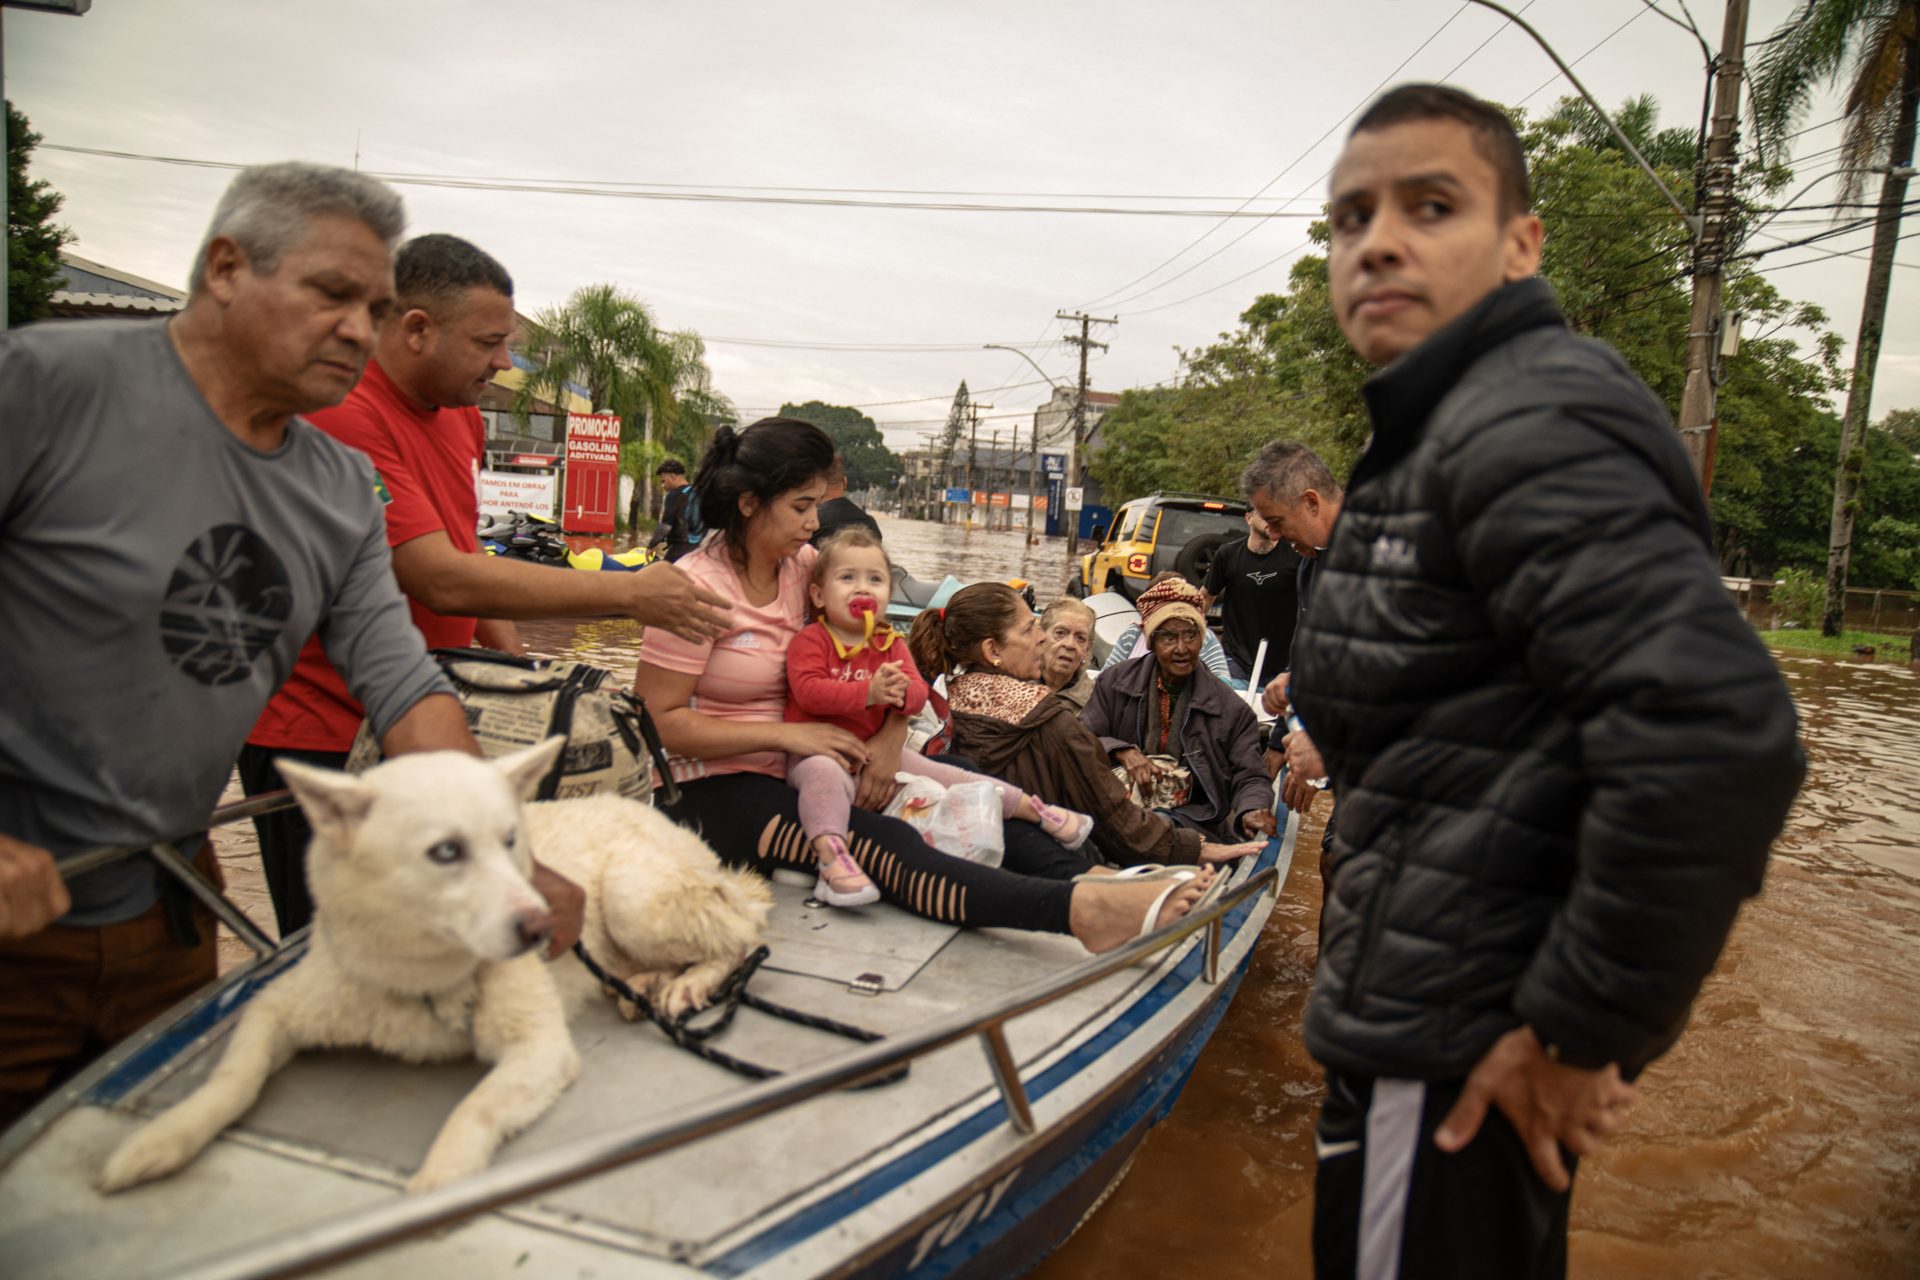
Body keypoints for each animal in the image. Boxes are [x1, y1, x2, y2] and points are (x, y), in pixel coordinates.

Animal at [97, 736, 771, 1197]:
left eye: (511, 839)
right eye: (446, 851)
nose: (542, 925)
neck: (420, 980)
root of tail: (675, 825)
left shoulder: (539, 1048)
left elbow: (473, 1112)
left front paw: (431, 1190)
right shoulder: (279, 1006)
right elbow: (231, 1078)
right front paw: (158, 1143)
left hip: (636, 896)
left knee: (740, 936)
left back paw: (685, 985)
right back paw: (642, 985)